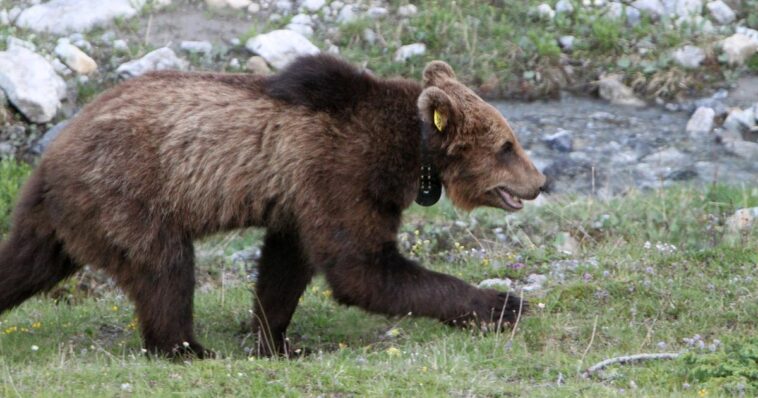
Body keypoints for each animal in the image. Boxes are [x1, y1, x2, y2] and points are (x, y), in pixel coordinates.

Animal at [0, 54, 548, 360]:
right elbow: (362, 269)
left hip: (60, 217)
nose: (540, 182)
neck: (408, 153)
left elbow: (286, 266)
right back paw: (188, 349)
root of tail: (53, 154)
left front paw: (278, 340)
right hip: (128, 193)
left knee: (25, 262)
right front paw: (503, 305)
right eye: (507, 145)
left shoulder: (298, 196)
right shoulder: (342, 170)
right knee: (164, 269)